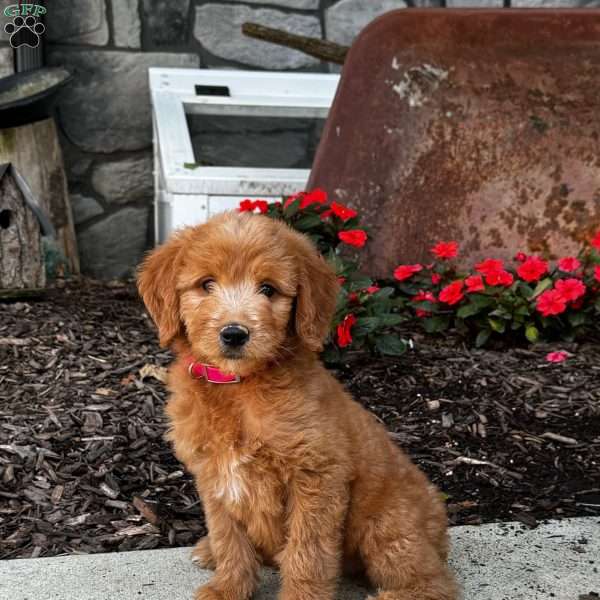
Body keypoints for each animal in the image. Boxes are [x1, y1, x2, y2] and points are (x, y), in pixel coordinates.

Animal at [137, 211, 454, 600]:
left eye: (268, 289)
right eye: (206, 284)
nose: (234, 333)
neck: (237, 388)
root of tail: (439, 523)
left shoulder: (317, 475)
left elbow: (308, 551)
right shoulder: (214, 476)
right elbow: (229, 537)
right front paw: (228, 587)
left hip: (387, 526)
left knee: (433, 581)